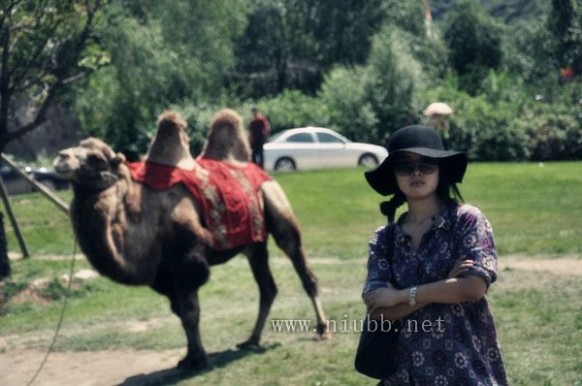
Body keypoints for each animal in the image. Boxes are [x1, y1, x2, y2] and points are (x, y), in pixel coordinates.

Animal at [52, 108, 330, 370]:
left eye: (96, 158)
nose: (61, 158)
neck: (144, 214)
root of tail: (257, 169)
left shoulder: (188, 260)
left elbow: (190, 313)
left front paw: (198, 359)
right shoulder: (164, 272)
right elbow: (179, 313)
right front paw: (187, 358)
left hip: (276, 203)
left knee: (300, 263)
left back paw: (322, 329)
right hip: (254, 242)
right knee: (267, 287)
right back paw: (251, 340)